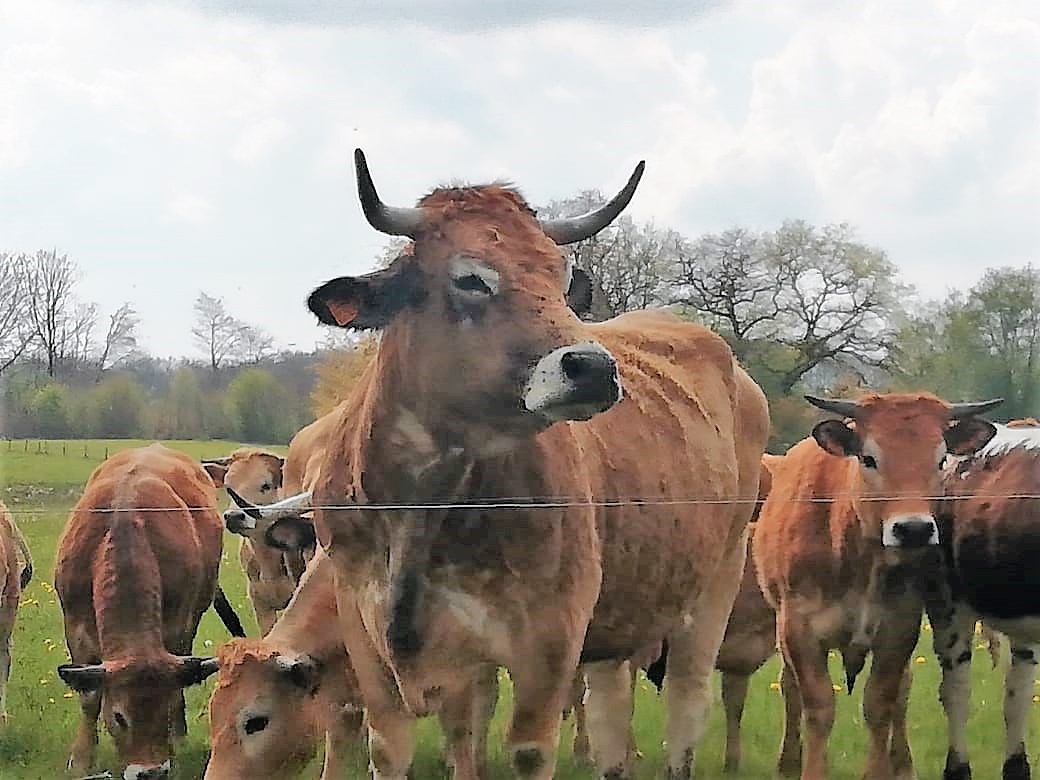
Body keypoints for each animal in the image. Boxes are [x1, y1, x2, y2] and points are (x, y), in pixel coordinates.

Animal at [297, 147, 769, 780]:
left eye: (562, 279)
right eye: (470, 278)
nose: (594, 367)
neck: (420, 509)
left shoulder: (550, 635)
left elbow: (525, 750)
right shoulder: (367, 631)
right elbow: (409, 747)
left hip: (716, 582)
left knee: (687, 704)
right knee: (611, 710)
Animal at [752, 393, 1002, 780]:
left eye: (941, 459)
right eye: (868, 458)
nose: (913, 529)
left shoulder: (899, 628)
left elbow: (880, 704)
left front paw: (880, 769)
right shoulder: (798, 628)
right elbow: (817, 705)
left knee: (902, 692)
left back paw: (901, 763)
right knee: (790, 689)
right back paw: (789, 762)